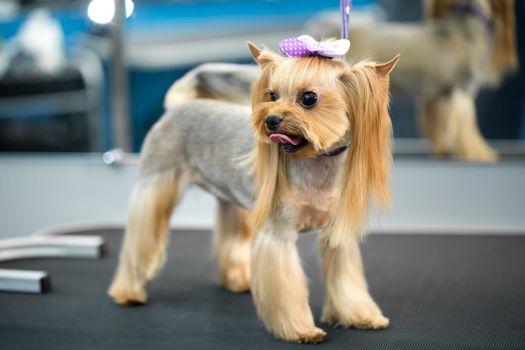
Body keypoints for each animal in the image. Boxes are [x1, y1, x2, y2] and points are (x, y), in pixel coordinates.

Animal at [108, 42, 400, 344]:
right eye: (272, 95)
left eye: (309, 98)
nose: (271, 119)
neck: (315, 161)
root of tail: (177, 107)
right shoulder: (278, 234)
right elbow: (286, 286)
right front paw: (300, 330)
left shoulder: (335, 234)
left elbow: (346, 280)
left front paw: (360, 316)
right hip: (155, 181)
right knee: (142, 236)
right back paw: (128, 292)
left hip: (230, 198)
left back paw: (236, 280)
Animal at [165, 0, 516, 162]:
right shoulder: (460, 92)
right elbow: (467, 129)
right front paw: (480, 154)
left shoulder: (437, 97)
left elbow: (439, 127)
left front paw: (444, 150)